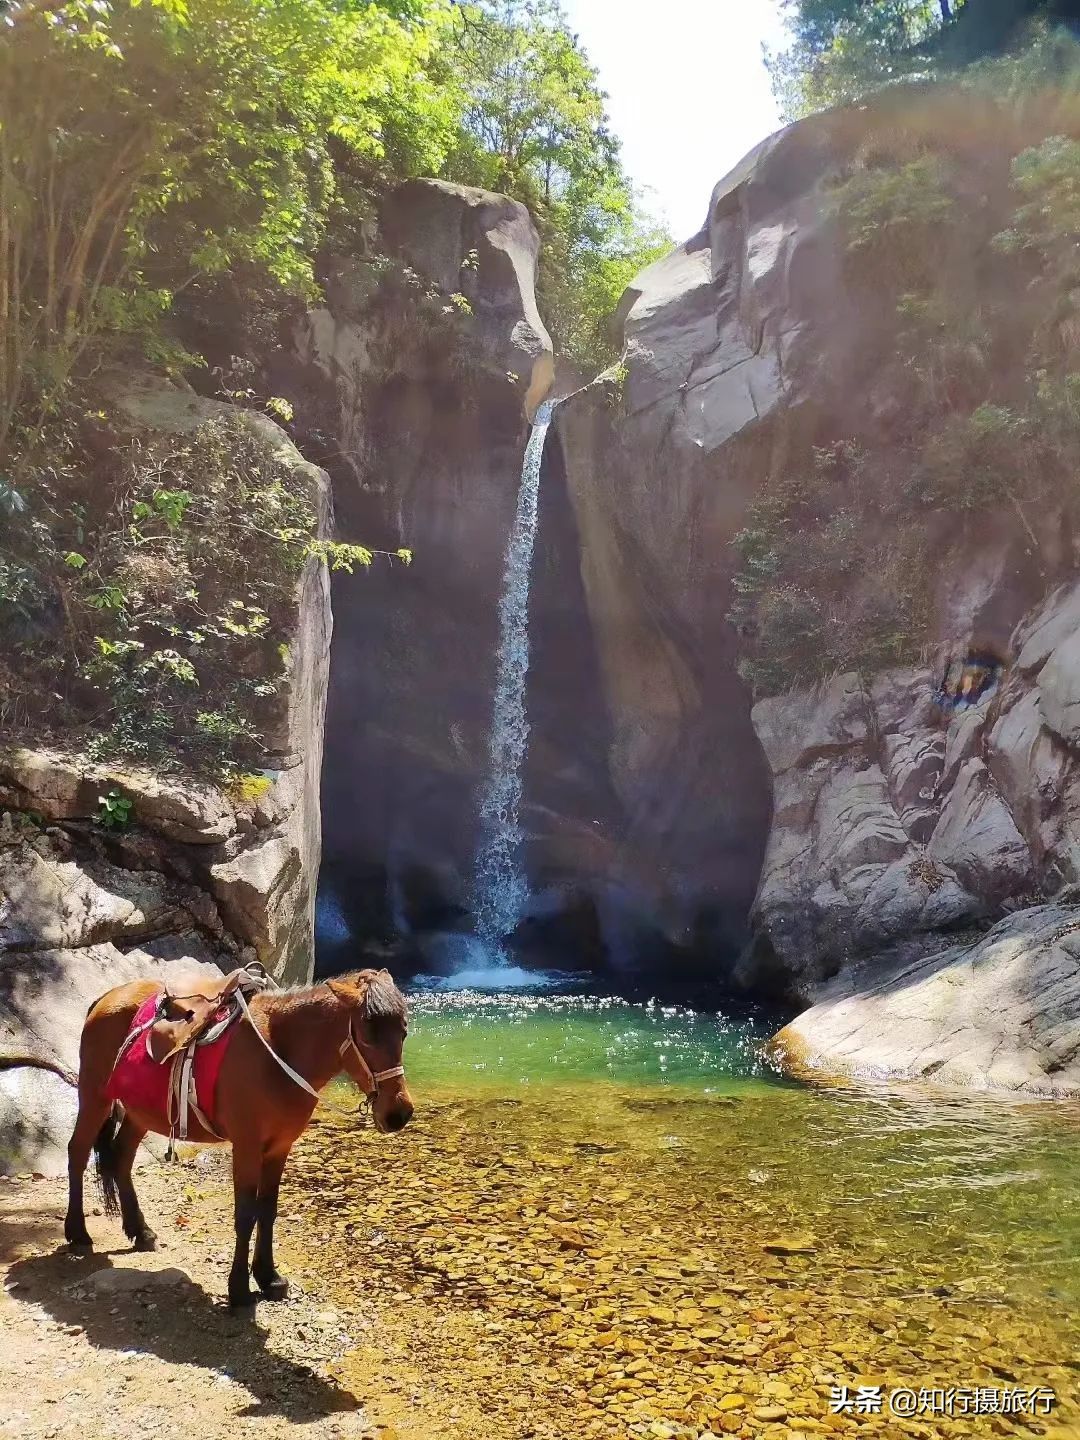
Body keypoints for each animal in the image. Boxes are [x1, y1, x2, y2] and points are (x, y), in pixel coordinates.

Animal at [62, 967, 414, 1307]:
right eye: (367, 1034)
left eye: (404, 1032)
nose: (399, 1113)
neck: (278, 1053)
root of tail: (105, 998)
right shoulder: (246, 1146)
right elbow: (246, 1214)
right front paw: (240, 1288)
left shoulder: (279, 1147)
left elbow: (267, 1210)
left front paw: (269, 1277)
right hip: (94, 1097)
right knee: (77, 1152)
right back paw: (77, 1233)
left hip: (140, 1113)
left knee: (121, 1158)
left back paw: (141, 1231)